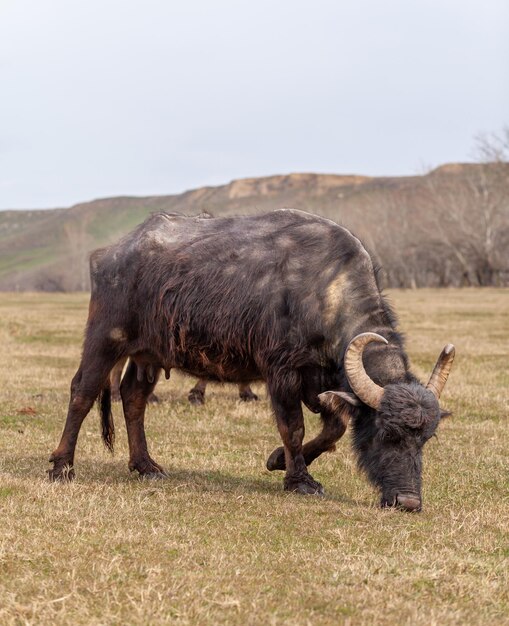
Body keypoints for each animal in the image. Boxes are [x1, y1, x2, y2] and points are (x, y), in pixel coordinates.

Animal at [48, 208, 452, 508]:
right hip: (105, 338)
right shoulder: (282, 371)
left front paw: (277, 460)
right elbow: (293, 426)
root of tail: (109, 254)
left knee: (134, 399)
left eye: (425, 439)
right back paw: (62, 466)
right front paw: (299, 479)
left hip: (149, 355)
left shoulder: (321, 378)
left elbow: (334, 430)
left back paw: (145, 465)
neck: (323, 291)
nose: (408, 502)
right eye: (386, 433)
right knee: (82, 392)